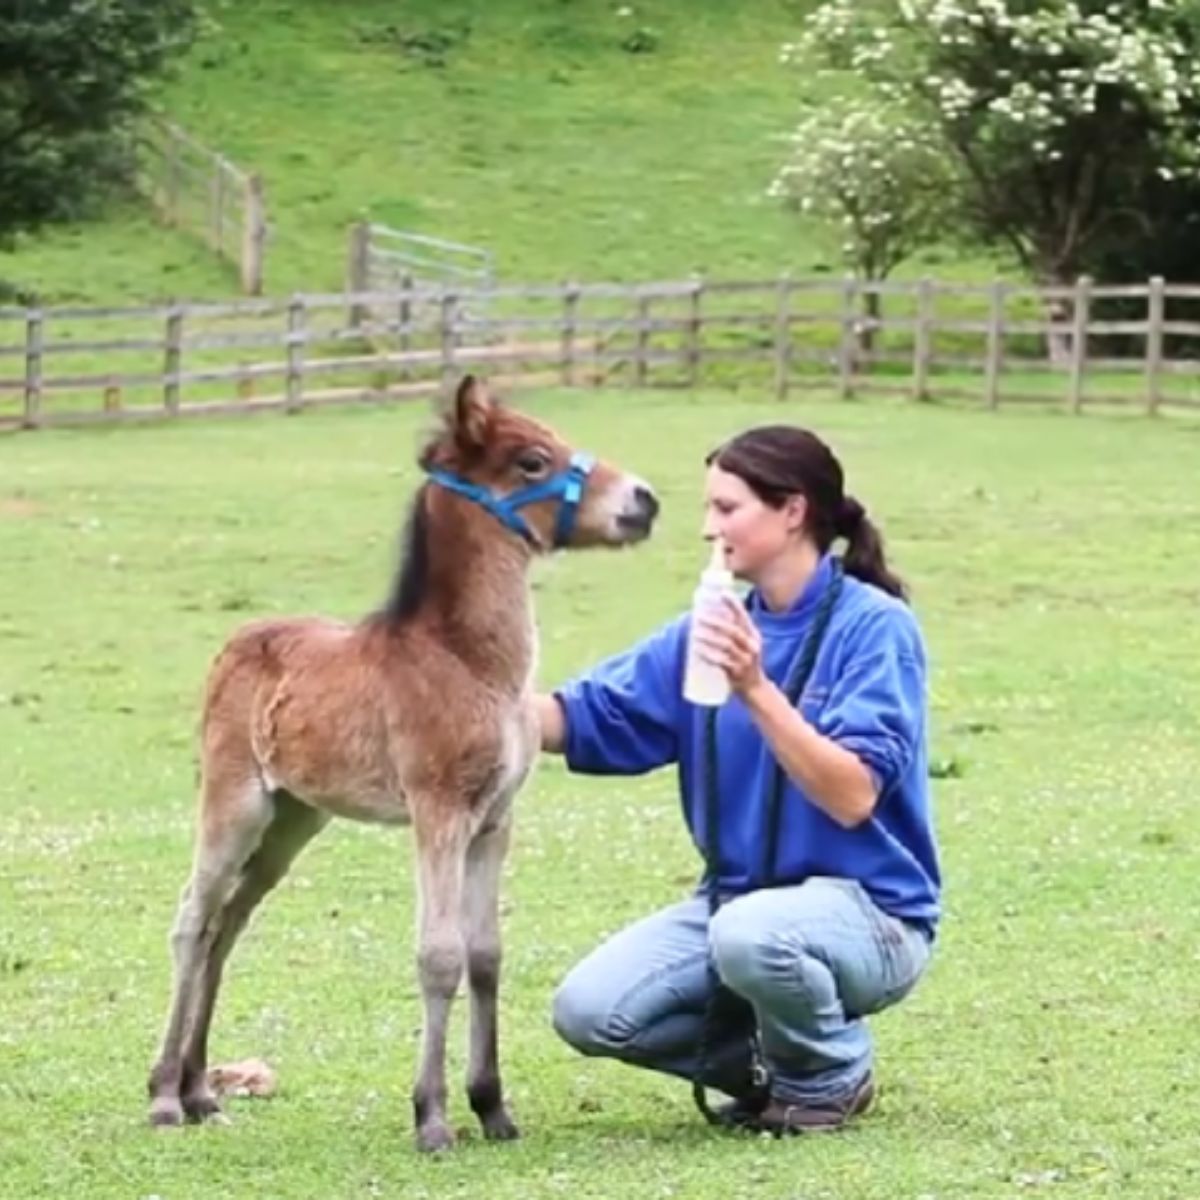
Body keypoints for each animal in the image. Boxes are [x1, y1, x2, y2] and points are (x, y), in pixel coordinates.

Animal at [147, 379, 667, 1147]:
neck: (468, 662)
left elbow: (486, 956)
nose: (643, 501)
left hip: (293, 820)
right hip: (235, 805)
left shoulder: (494, 822)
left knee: (228, 925)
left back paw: (200, 1091)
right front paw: (433, 1117)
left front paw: (493, 1107)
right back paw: (162, 1096)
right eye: (533, 460)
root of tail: (238, 640)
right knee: (193, 920)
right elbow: (440, 955)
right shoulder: (438, 813)